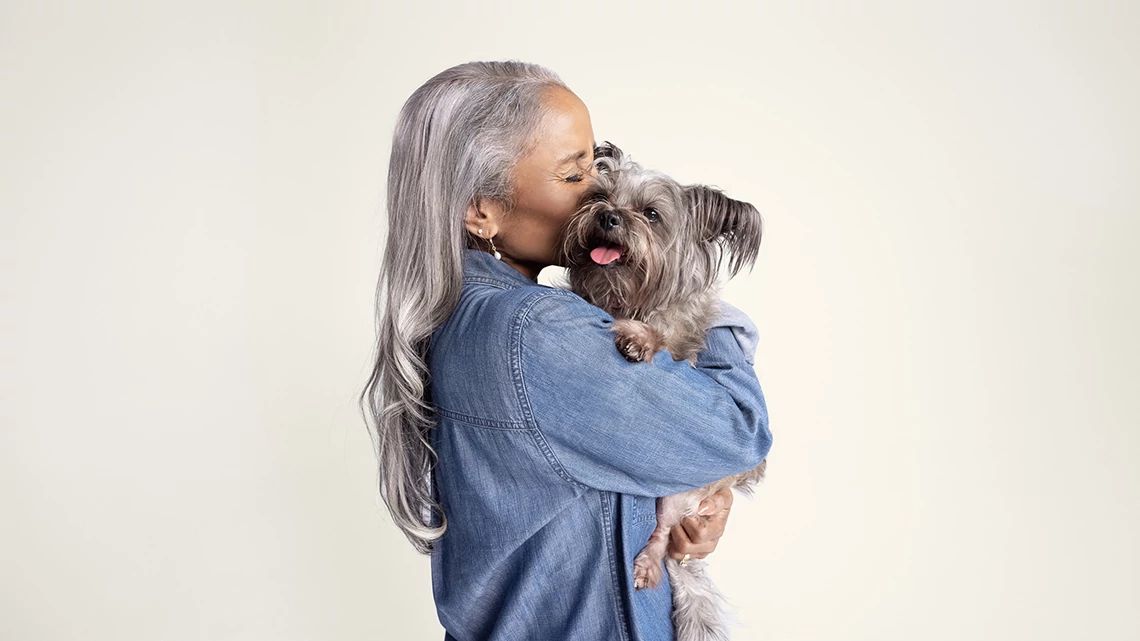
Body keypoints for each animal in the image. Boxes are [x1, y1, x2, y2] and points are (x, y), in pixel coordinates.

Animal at [551, 140, 766, 638]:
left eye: (651, 214)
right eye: (598, 196)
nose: (609, 217)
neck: (625, 300)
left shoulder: (684, 337)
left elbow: (668, 338)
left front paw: (641, 339)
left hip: (677, 497)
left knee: (664, 534)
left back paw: (648, 564)